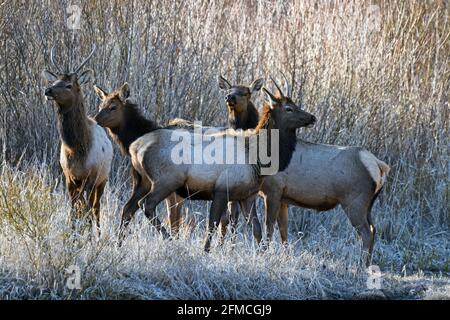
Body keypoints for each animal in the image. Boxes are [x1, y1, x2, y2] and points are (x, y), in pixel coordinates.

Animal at [42, 45, 113, 230]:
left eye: (68, 85)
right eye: (54, 82)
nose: (48, 90)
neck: (77, 149)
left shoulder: (91, 177)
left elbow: (86, 210)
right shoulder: (69, 176)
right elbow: (74, 211)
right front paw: (73, 233)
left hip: (103, 179)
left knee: (96, 208)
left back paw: (97, 232)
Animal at [102, 82, 316, 252]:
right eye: (289, 108)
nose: (312, 117)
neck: (257, 159)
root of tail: (134, 146)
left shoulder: (247, 196)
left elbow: (256, 229)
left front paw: (263, 254)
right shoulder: (221, 189)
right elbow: (212, 225)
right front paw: (206, 251)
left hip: (142, 181)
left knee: (128, 207)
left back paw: (119, 244)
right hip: (166, 180)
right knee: (146, 205)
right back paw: (169, 241)